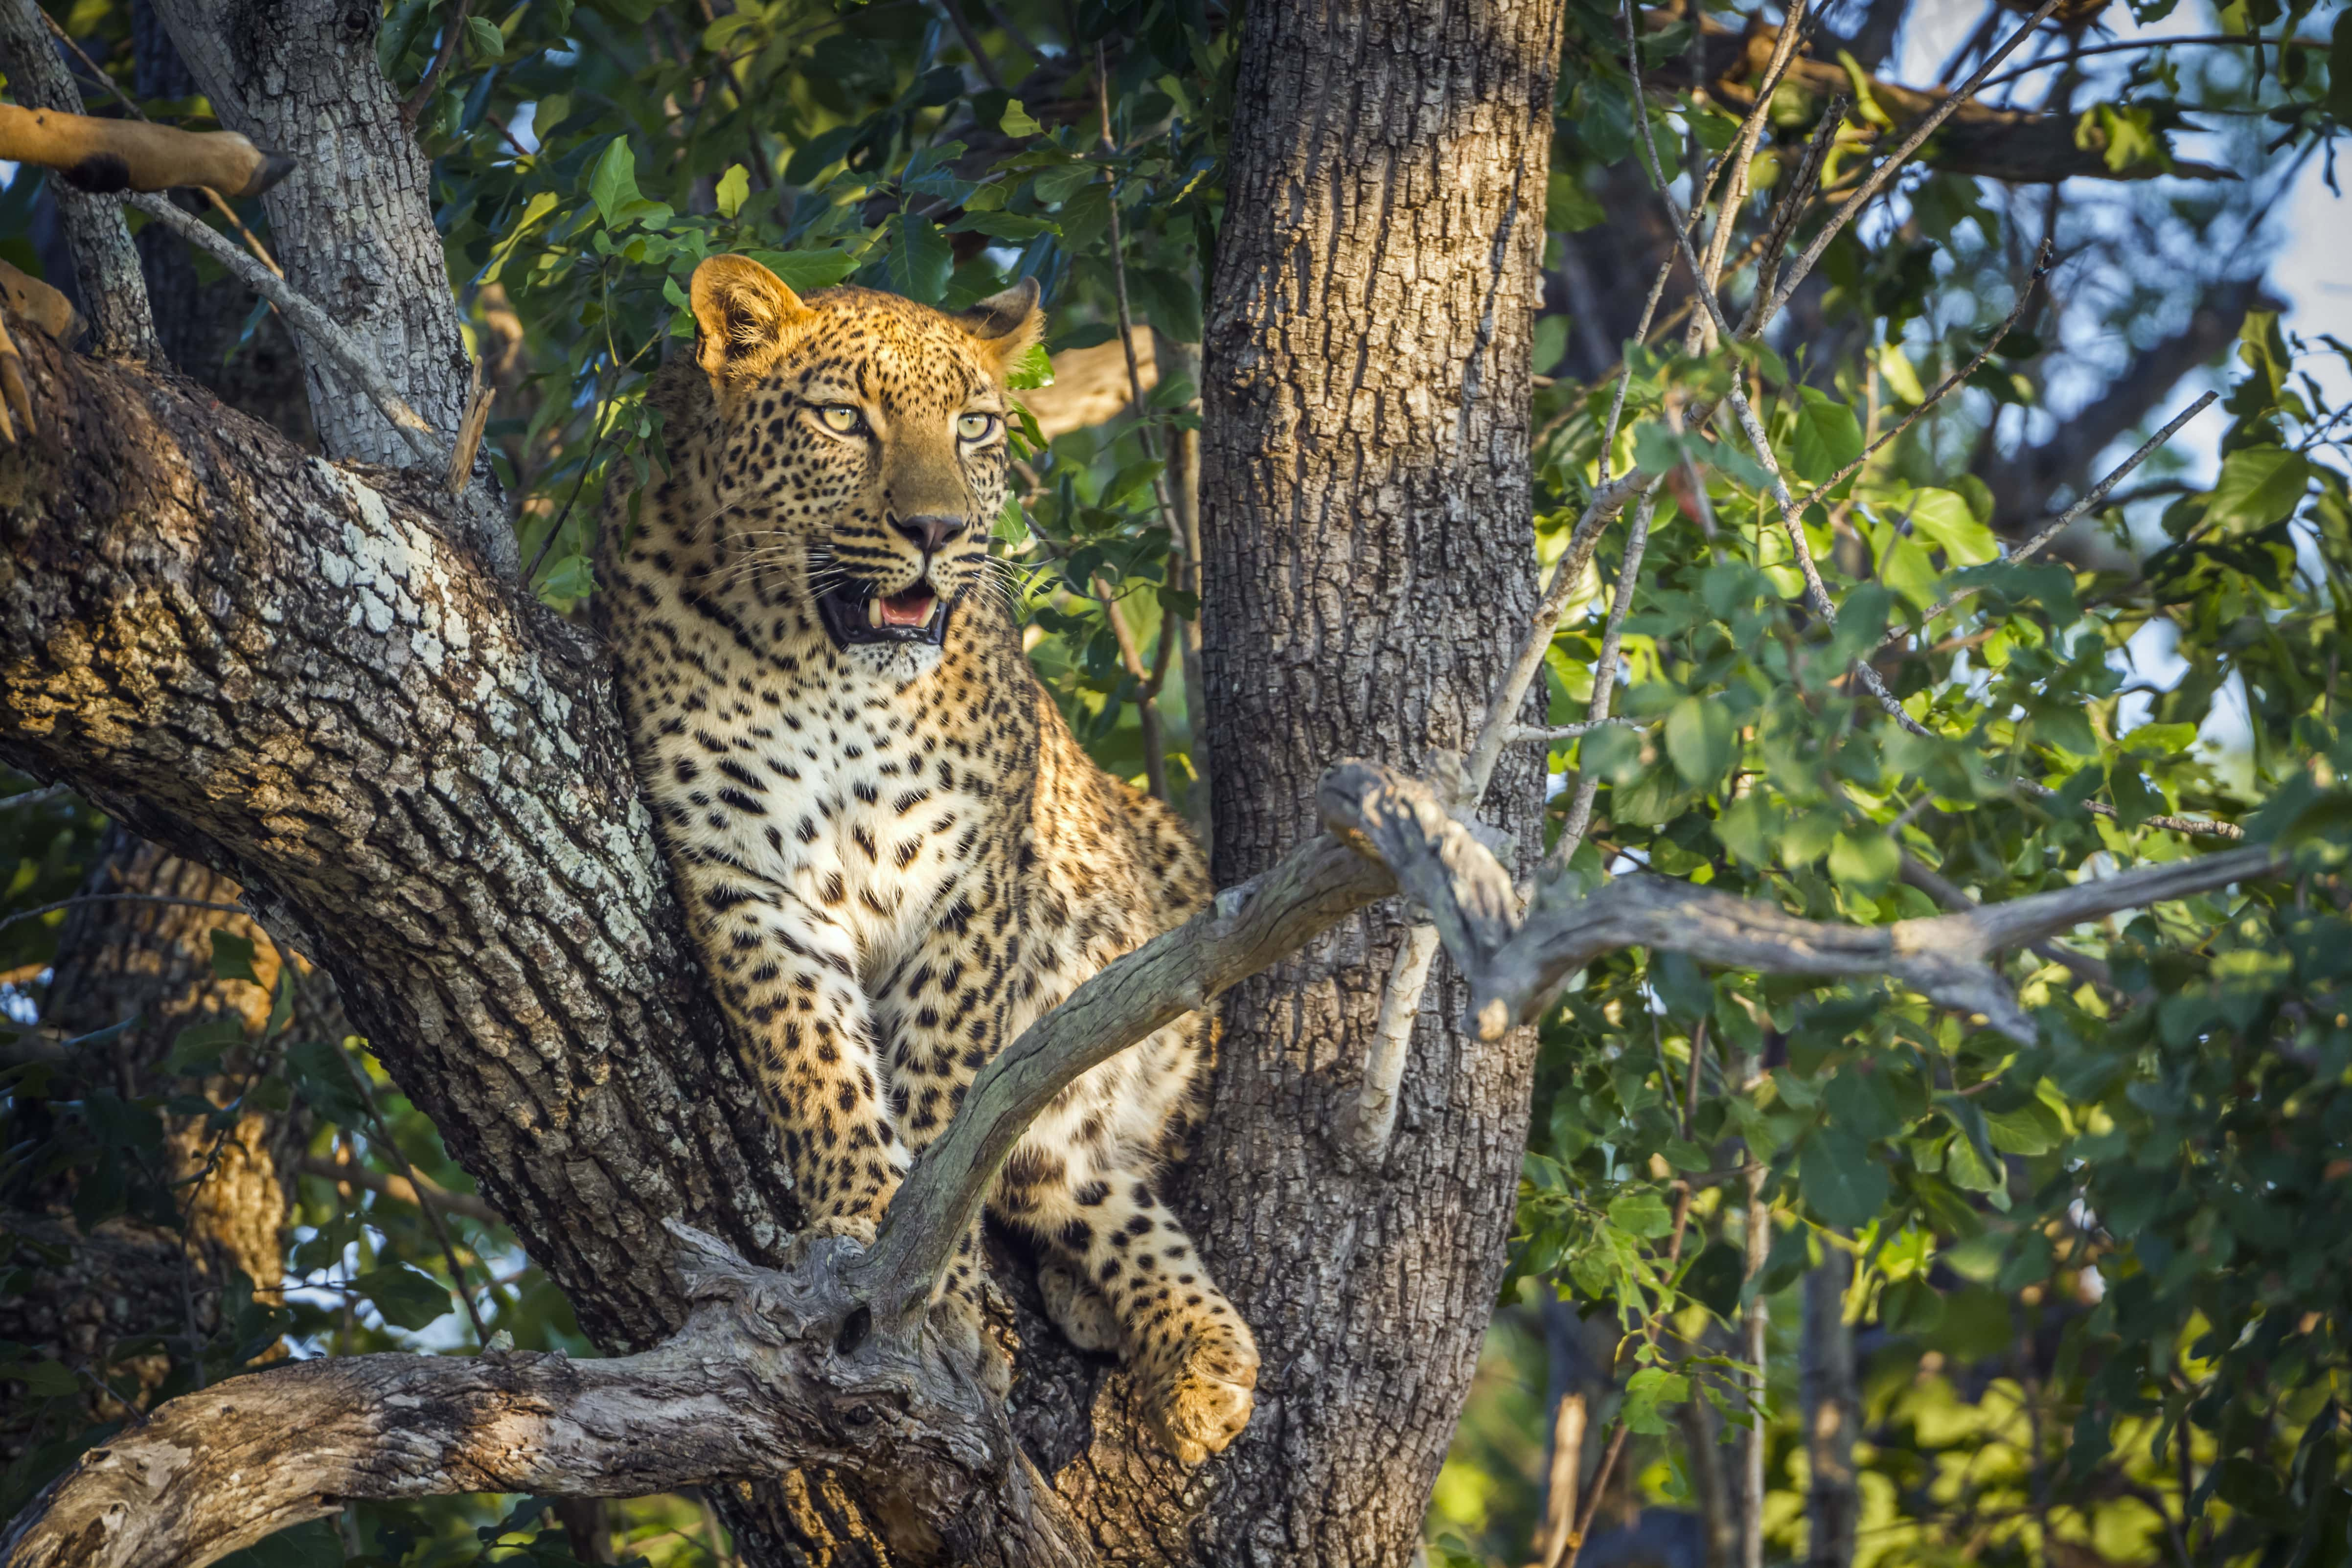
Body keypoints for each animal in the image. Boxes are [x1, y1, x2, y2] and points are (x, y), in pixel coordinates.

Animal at [597, 251, 1260, 1467]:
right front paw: (863, 1211)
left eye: (976, 427)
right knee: (1079, 1185)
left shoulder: (969, 878)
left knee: (1108, 1161)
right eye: (842, 420)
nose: (938, 530)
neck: (824, 668)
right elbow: (812, 1056)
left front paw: (937, 1276)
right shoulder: (742, 872)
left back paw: (1183, 1350)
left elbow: (951, 1092)